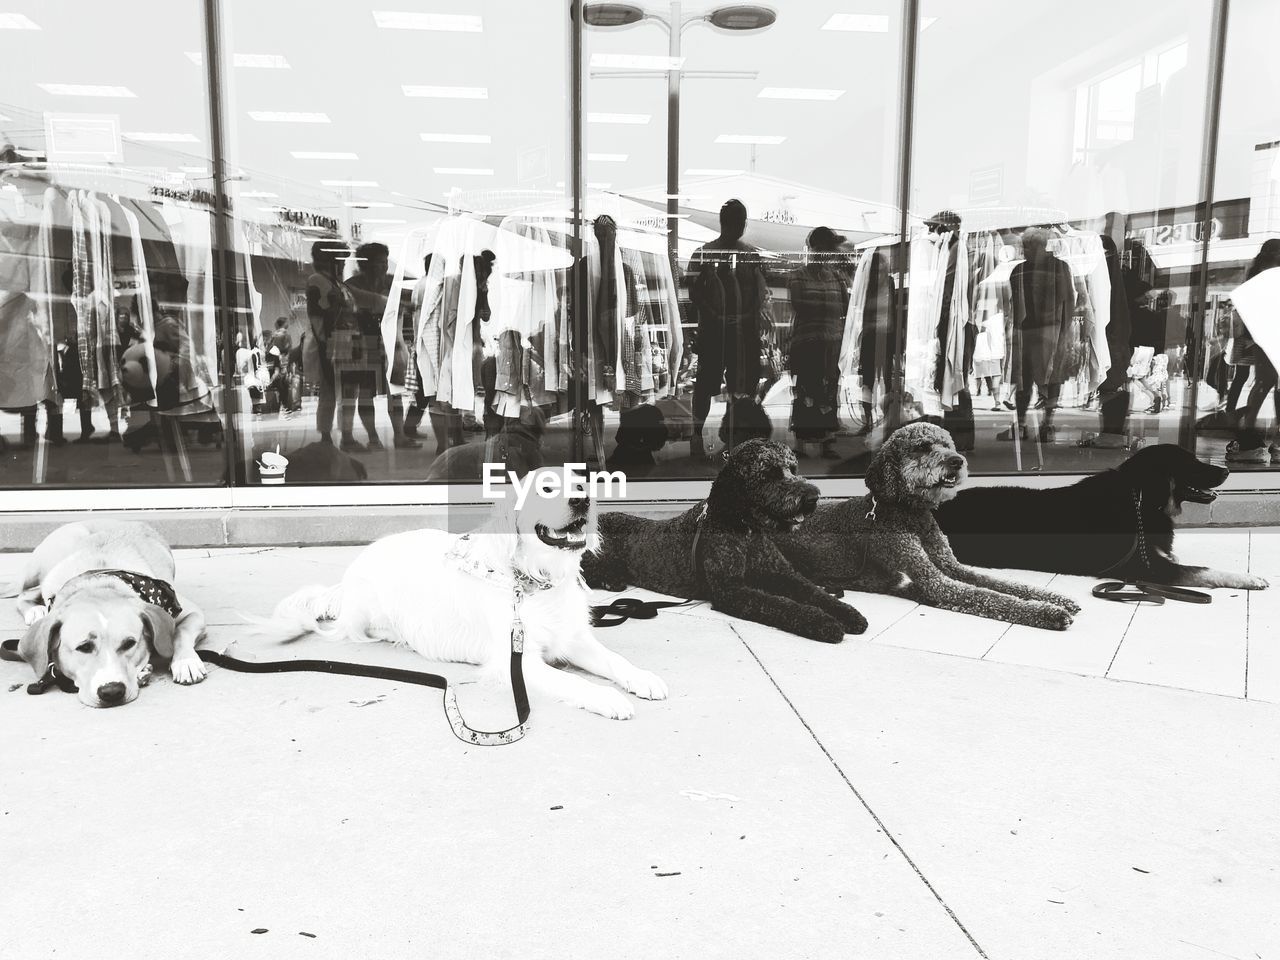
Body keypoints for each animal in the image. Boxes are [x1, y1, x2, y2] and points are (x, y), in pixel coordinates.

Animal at [583, 442, 870, 647]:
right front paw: (822, 622)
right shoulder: (731, 590)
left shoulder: (783, 574)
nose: (812, 497)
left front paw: (848, 613)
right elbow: (780, 604)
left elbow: (815, 593)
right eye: (769, 473)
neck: (745, 530)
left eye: (793, 469)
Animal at [931, 445, 1269, 593]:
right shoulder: (1149, 567)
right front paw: (1248, 578)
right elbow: (1205, 570)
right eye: (1190, 462)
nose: (1227, 469)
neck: (1140, 500)